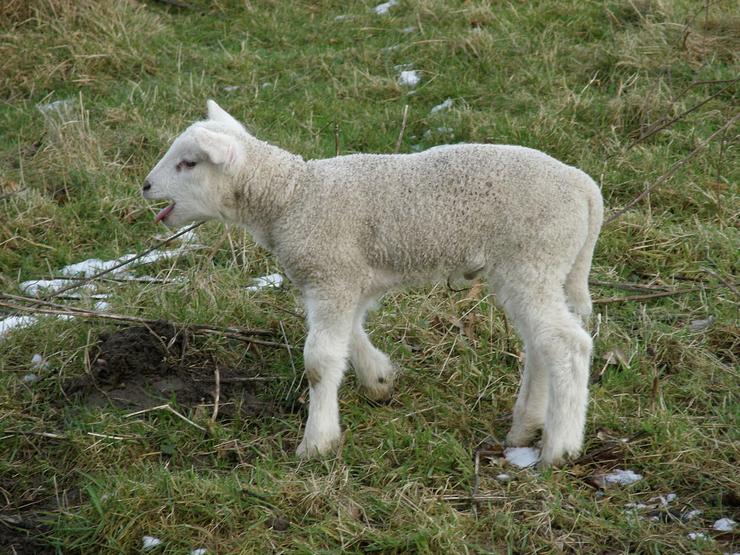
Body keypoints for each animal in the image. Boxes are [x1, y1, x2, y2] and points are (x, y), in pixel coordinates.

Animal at [143, 101, 600, 470]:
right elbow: (350, 333)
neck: (291, 196)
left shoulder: (332, 274)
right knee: (540, 343)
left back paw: (559, 448)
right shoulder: (344, 277)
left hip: (533, 258)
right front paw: (378, 379)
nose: (145, 186)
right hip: (528, 269)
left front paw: (316, 443)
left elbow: (320, 360)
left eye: (189, 163)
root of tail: (585, 187)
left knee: (568, 345)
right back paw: (525, 427)